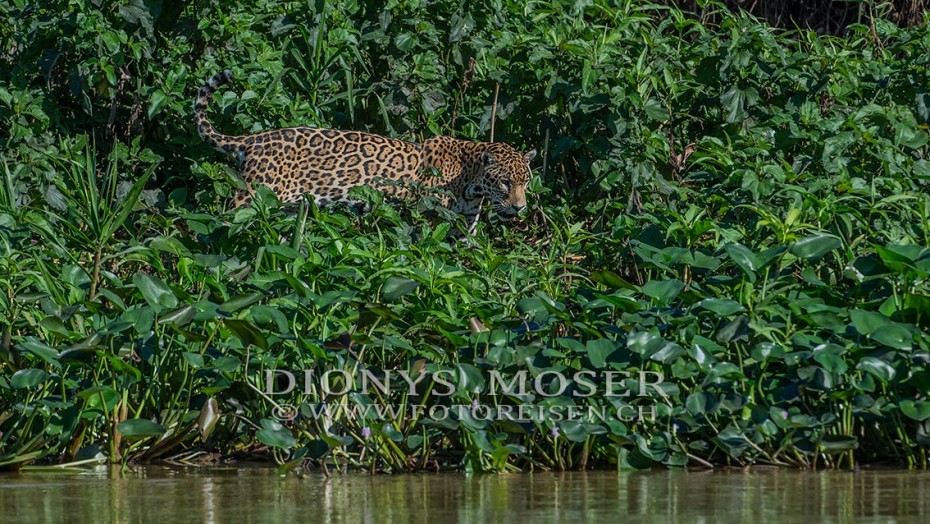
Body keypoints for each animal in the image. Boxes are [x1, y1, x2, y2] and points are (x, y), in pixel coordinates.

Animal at [194, 70, 536, 233]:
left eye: (526, 182)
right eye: (505, 182)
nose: (520, 208)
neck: (471, 183)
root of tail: (253, 140)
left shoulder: (461, 229)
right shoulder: (425, 215)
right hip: (251, 196)